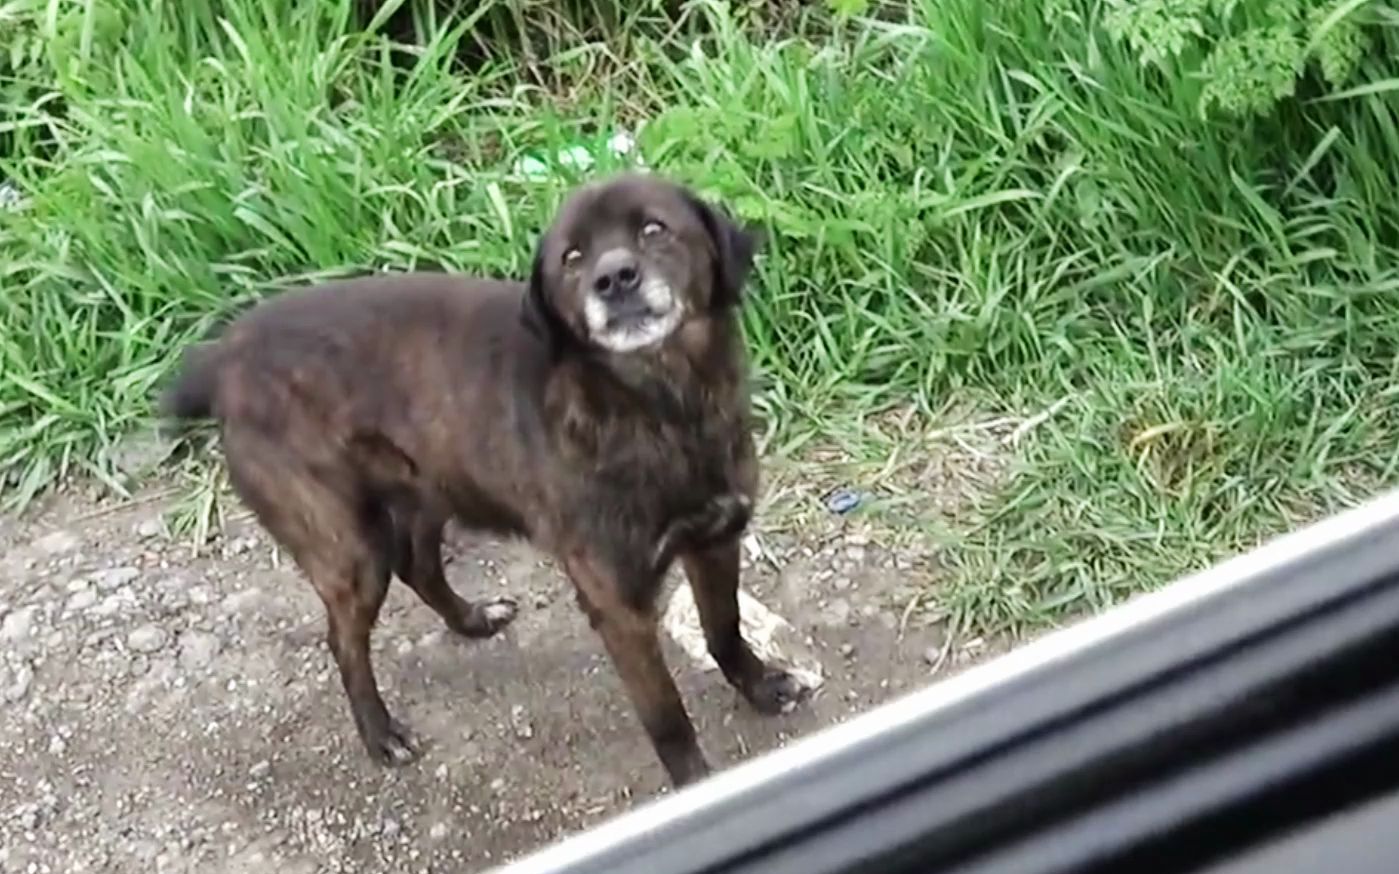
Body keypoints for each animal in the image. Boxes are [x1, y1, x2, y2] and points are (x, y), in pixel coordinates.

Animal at [160, 170, 811, 783]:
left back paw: (471, 620)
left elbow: (724, 628)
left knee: (418, 566)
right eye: (572, 258)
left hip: (428, 492)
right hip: (349, 550)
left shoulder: (716, 539)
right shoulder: (618, 604)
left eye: (654, 228)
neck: (663, 409)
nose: (613, 279)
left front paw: (761, 687)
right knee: (345, 639)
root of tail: (223, 356)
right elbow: (668, 719)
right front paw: (695, 783)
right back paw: (381, 735)